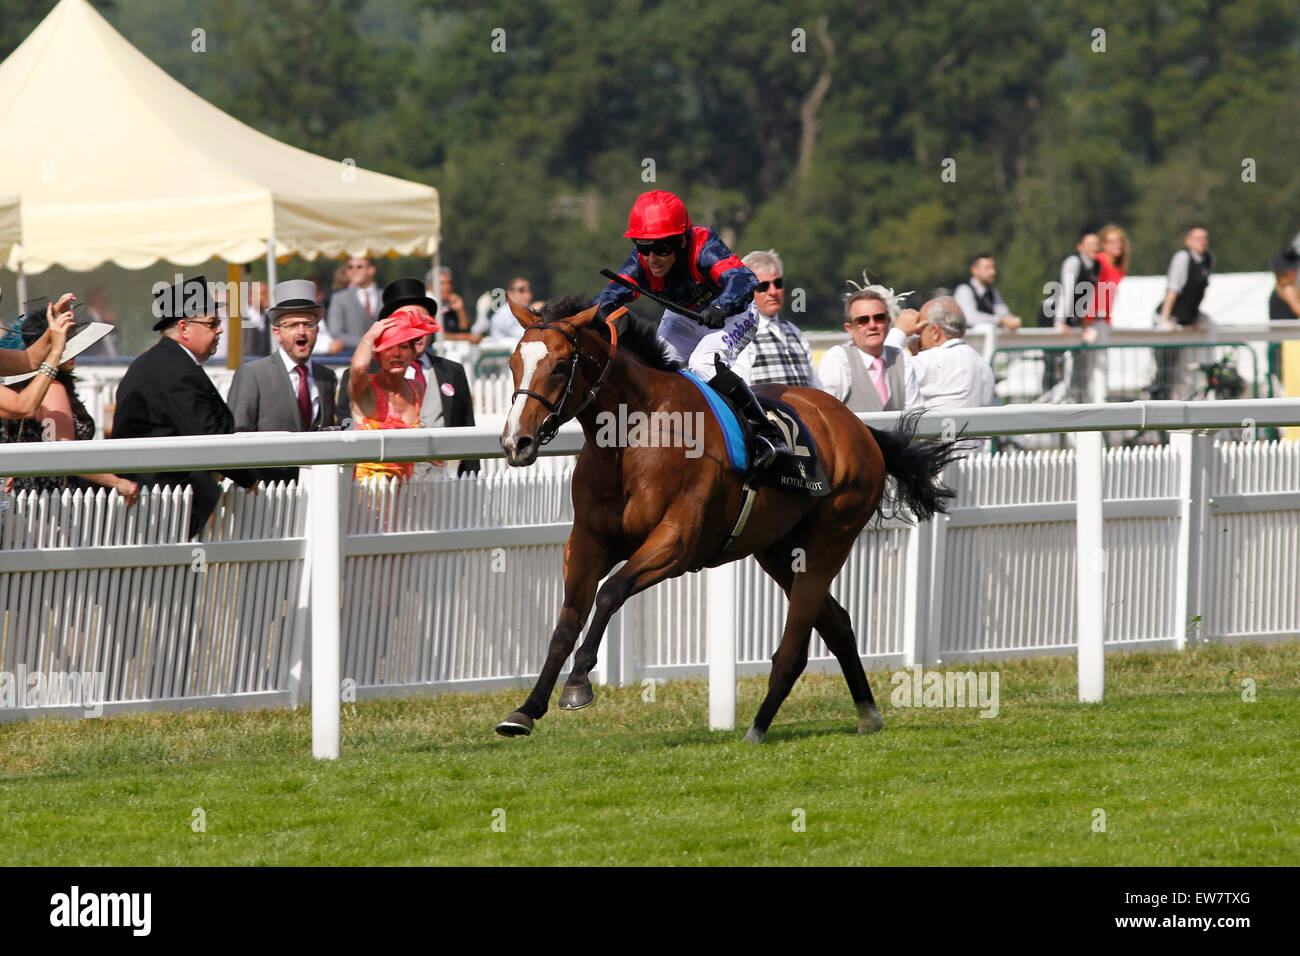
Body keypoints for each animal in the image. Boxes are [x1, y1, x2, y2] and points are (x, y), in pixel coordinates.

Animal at [491, 295, 961, 743]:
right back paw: (867, 714)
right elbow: (567, 621)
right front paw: (525, 711)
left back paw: (758, 729)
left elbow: (610, 592)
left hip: (829, 540)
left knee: (795, 646)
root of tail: (860, 428)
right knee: (837, 623)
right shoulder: (587, 542)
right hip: (779, 551)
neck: (633, 436)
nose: (517, 442)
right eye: (513, 364)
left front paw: (578, 683)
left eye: (558, 366)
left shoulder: (676, 544)